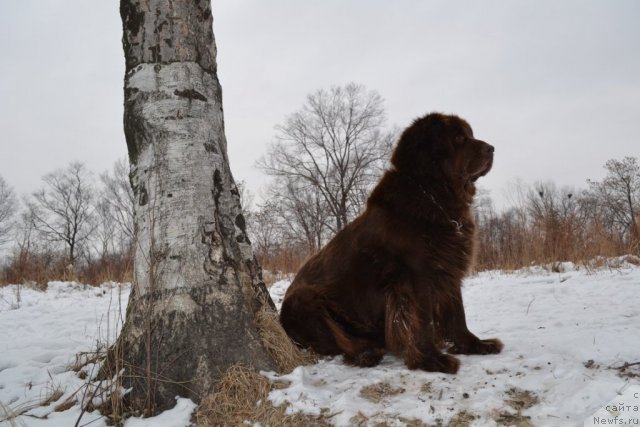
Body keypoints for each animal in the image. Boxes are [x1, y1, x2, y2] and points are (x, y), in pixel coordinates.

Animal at [282, 113, 502, 374]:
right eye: (458, 138)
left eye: (469, 134)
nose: (492, 148)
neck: (433, 196)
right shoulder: (416, 275)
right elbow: (422, 321)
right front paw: (431, 359)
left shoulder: (448, 269)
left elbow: (457, 314)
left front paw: (475, 344)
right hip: (306, 300)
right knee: (335, 340)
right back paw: (366, 353)